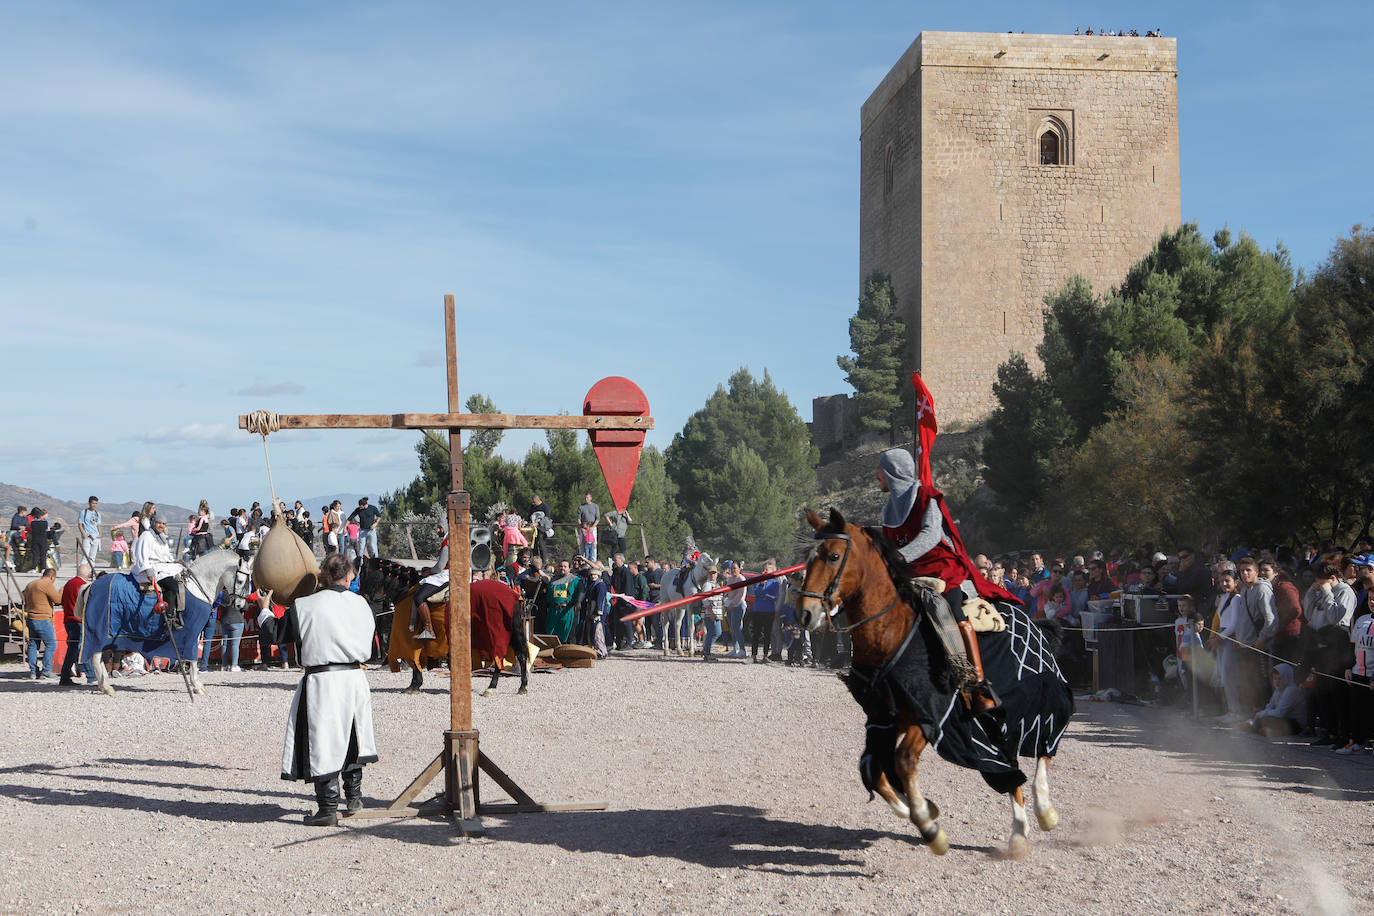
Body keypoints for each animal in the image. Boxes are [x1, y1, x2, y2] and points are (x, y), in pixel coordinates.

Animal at [796, 508, 1071, 862]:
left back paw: (1045, 809)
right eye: (807, 558)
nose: (805, 613)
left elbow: (901, 761)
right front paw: (921, 809)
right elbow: (874, 768)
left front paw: (930, 828)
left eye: (832, 556)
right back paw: (1019, 833)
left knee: (1043, 749)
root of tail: (1033, 622)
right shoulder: (885, 717)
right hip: (994, 722)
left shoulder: (931, 714)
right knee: (1008, 769)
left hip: (1035, 703)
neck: (890, 629)